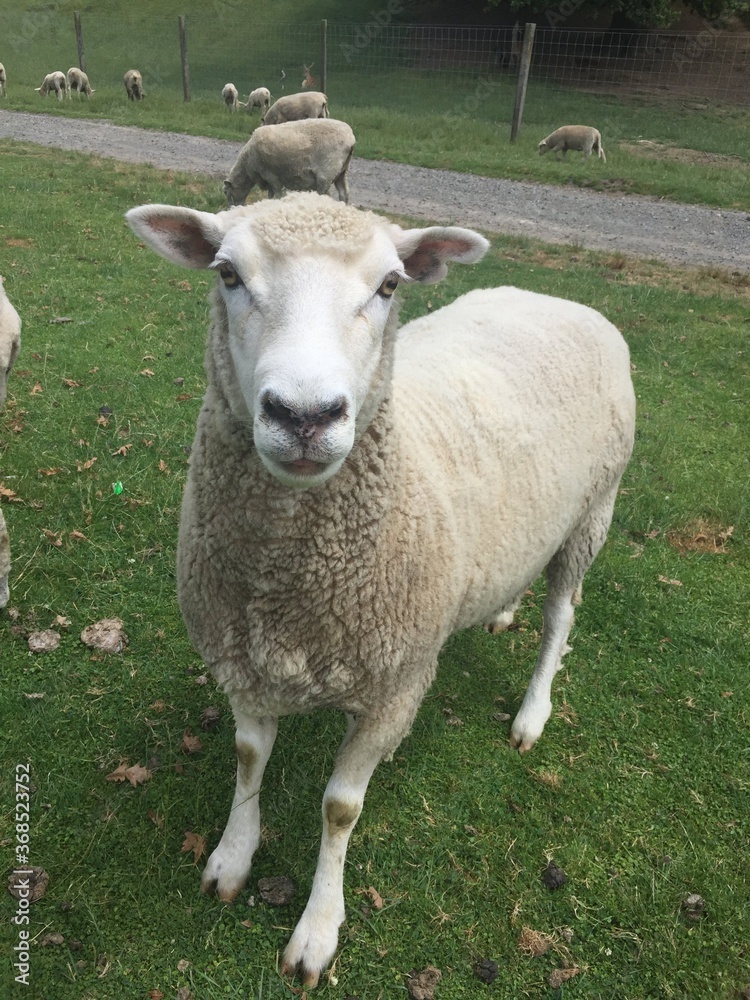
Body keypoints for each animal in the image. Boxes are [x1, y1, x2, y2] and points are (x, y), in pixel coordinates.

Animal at [223, 115, 356, 205]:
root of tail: (351, 138)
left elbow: (276, 193)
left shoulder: (270, 175)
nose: (231, 208)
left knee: (325, 194)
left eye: (226, 192)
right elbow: (270, 194)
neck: (246, 162)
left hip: (326, 173)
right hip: (342, 171)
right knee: (344, 194)